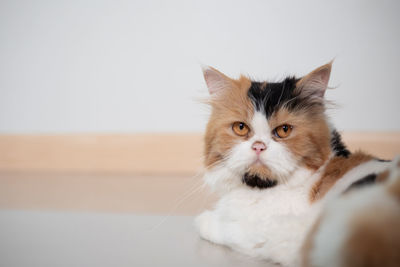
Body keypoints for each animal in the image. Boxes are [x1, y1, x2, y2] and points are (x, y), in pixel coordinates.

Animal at [195, 63, 400, 267]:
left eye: (284, 130)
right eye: (240, 128)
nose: (258, 146)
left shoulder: (280, 233)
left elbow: (227, 227)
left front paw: (203, 220)